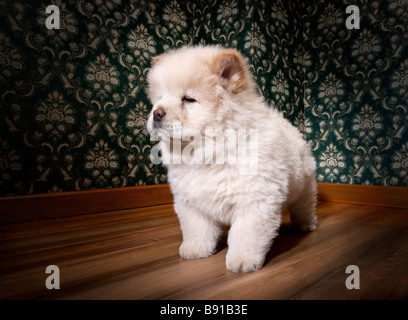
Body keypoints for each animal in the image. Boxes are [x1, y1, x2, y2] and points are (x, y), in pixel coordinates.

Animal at [145, 45, 318, 272]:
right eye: (159, 98)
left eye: (188, 99)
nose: (157, 113)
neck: (204, 152)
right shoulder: (190, 201)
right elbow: (196, 228)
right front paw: (195, 250)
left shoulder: (255, 200)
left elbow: (245, 234)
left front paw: (242, 261)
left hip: (304, 186)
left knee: (304, 206)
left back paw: (306, 225)